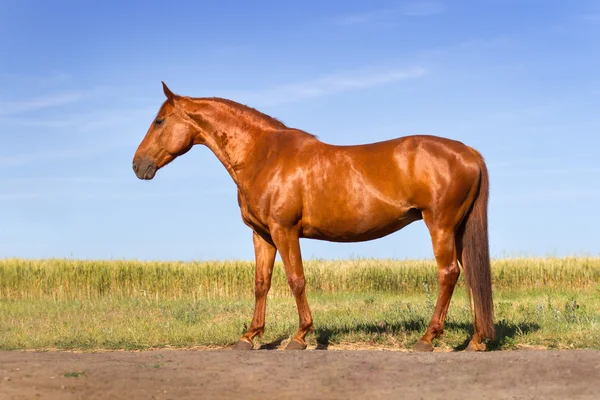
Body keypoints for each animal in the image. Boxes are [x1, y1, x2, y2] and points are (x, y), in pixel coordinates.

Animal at [134, 83, 494, 352]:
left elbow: (296, 280)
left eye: (159, 121)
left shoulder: (285, 230)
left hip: (441, 226)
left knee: (448, 274)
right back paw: (476, 339)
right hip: (459, 228)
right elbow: (261, 283)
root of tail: (468, 152)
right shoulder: (262, 234)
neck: (263, 155)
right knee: (470, 274)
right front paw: (249, 336)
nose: (138, 165)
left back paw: (427, 339)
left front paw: (300, 336)